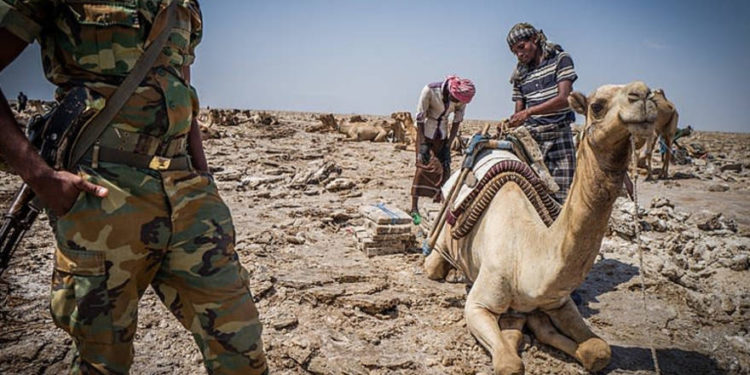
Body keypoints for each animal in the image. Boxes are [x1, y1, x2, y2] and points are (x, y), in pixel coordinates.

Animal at [428, 81, 656, 374]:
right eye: (597, 106)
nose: (644, 94)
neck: (526, 254)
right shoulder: (478, 305)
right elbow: (510, 363)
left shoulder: (558, 302)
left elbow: (597, 350)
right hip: (440, 244)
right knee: (434, 266)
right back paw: (453, 274)